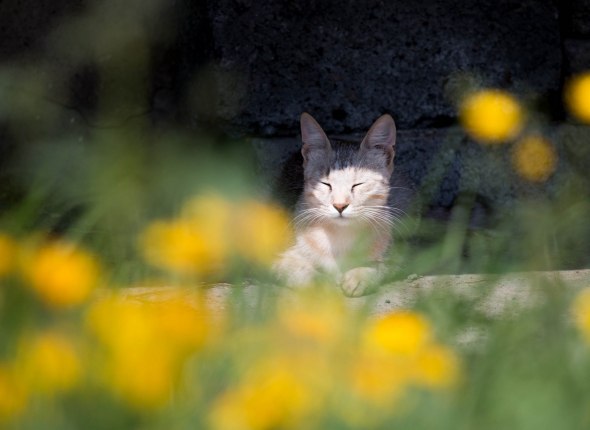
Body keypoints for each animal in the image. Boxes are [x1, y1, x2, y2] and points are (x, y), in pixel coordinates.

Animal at [276, 112, 400, 298]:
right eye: (325, 184)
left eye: (358, 184)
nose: (340, 205)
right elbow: (301, 270)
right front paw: (322, 284)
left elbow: (381, 266)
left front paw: (360, 275)